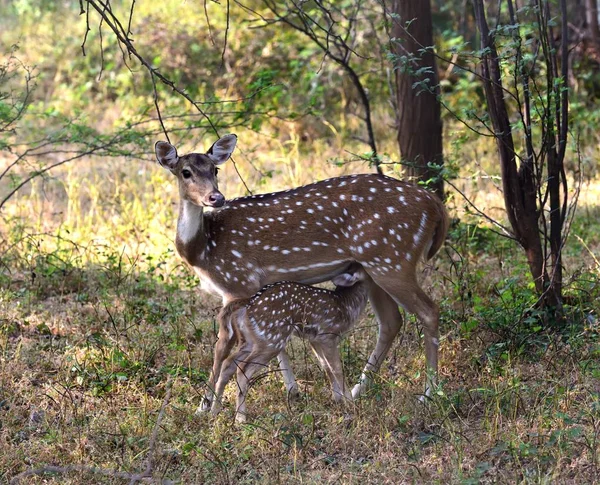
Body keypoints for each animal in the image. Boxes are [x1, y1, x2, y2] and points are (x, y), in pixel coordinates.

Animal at [157, 131, 448, 404]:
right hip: (374, 267)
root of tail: (434, 204)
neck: (203, 250)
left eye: (215, 170)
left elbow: (222, 346)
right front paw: (292, 390)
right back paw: (357, 390)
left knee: (429, 311)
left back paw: (429, 393)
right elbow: (274, 342)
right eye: (186, 172)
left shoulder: (238, 282)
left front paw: (204, 406)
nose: (215, 197)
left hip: (393, 259)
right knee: (391, 321)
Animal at [204, 262, 368, 422]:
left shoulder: (314, 339)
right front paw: (350, 402)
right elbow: (336, 368)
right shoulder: (327, 335)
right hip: (271, 340)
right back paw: (240, 418)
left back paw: (215, 411)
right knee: (243, 369)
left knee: (228, 363)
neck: (346, 305)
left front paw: (338, 399)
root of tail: (247, 304)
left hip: (249, 341)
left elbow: (325, 366)